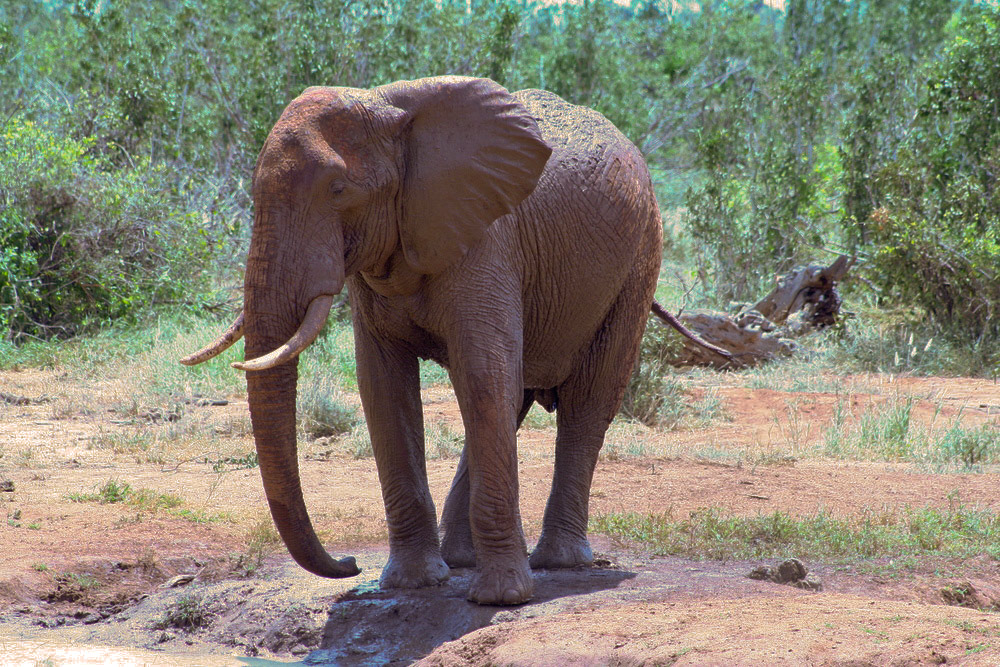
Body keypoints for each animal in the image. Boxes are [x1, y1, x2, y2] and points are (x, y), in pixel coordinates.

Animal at [184, 75, 720, 608]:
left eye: (338, 189)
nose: (349, 563)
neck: (390, 110)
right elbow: (384, 389)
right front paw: (412, 584)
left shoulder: (488, 239)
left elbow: (482, 374)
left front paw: (502, 598)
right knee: (512, 397)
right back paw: (462, 557)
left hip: (640, 258)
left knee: (585, 401)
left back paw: (558, 562)